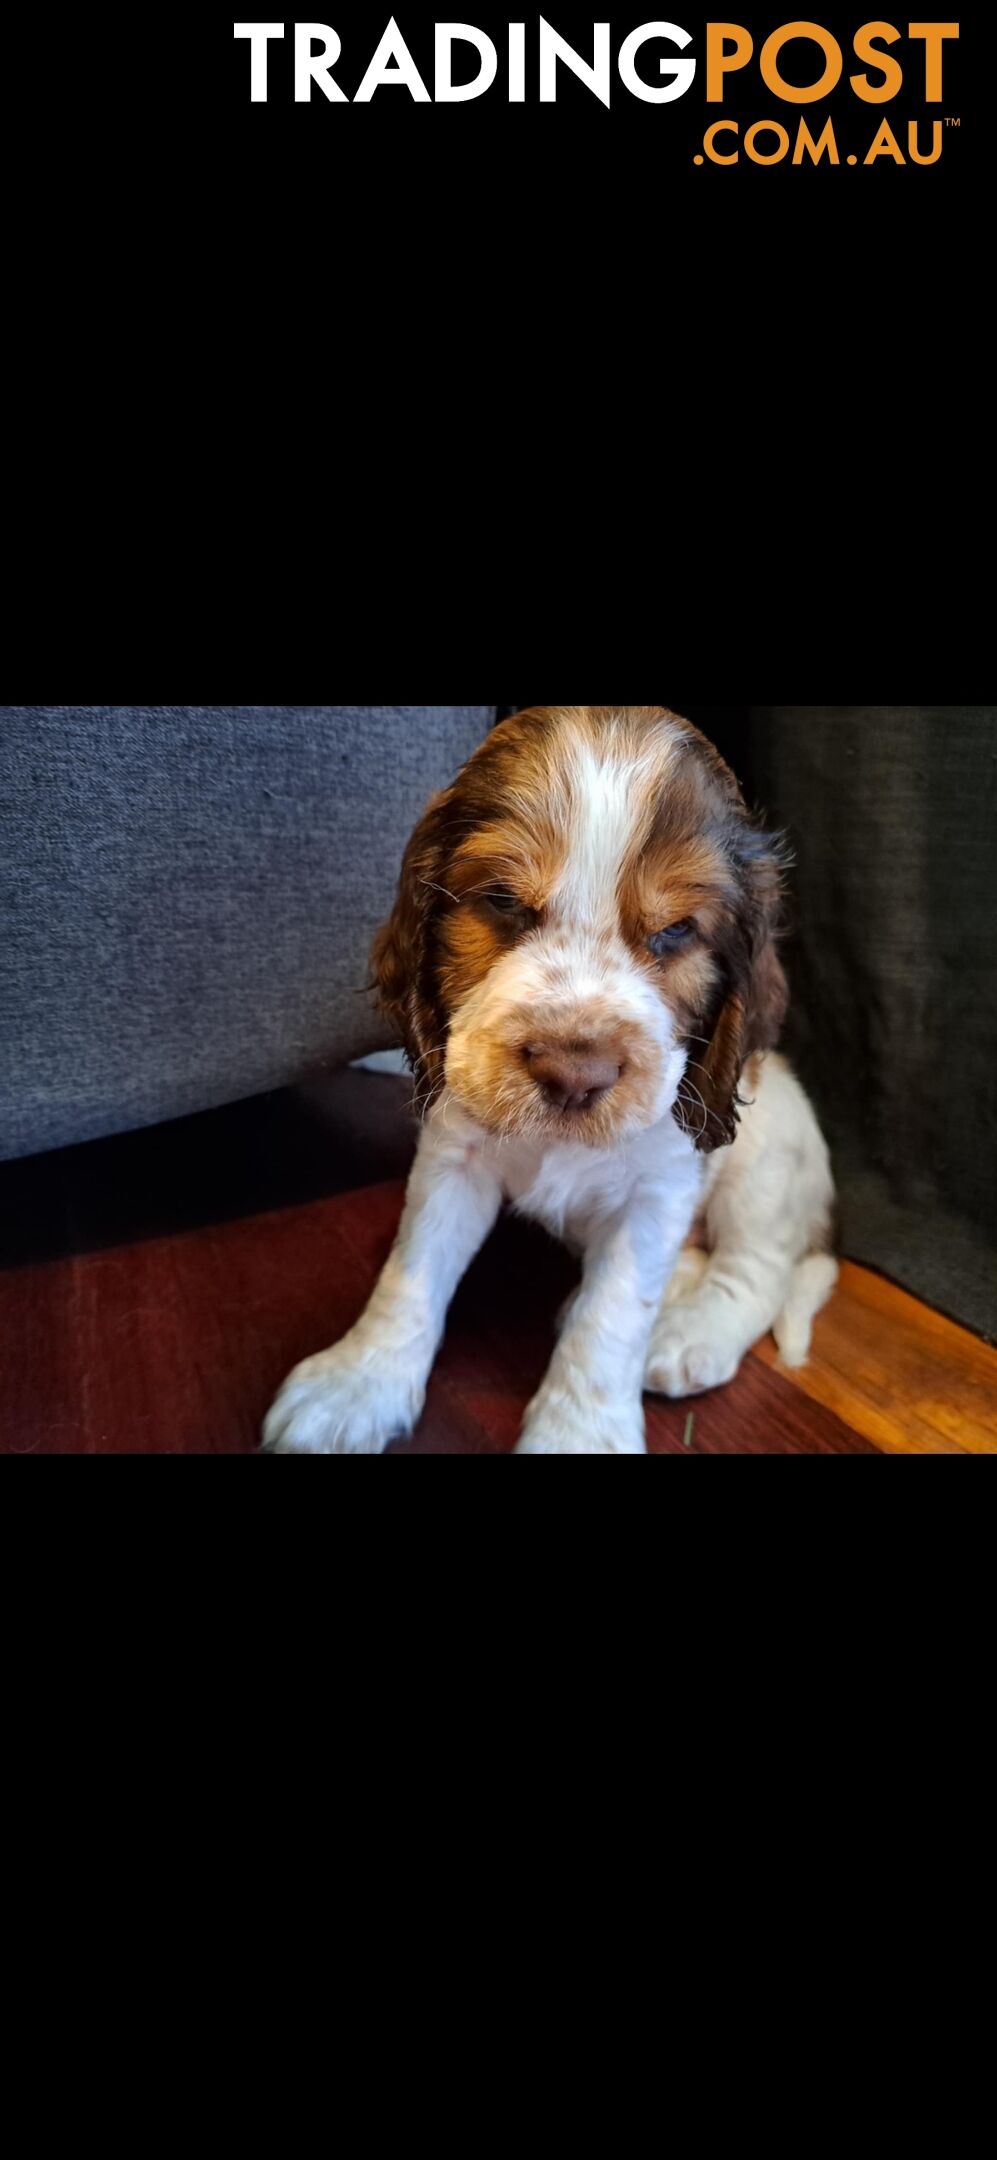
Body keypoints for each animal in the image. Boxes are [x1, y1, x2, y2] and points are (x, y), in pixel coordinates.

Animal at [263, 704, 832, 1451]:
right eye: (503, 900)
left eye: (677, 930)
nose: (574, 1075)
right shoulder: (453, 1153)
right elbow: (411, 1270)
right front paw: (358, 1382)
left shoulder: (659, 1191)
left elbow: (611, 1318)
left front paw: (579, 1433)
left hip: (767, 1166)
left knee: (757, 1270)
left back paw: (688, 1336)